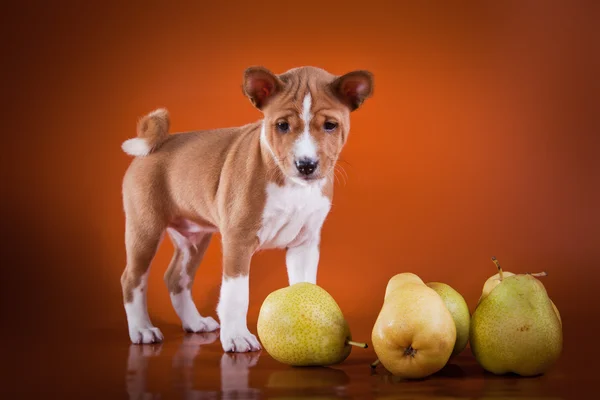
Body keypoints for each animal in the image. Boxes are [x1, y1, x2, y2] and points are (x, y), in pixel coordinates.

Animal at [119, 66, 372, 354]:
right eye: (282, 125)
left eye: (330, 125)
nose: (306, 164)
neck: (292, 186)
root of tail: (155, 145)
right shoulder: (238, 240)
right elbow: (236, 295)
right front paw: (237, 336)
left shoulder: (305, 243)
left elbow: (306, 286)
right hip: (145, 229)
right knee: (132, 279)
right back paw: (142, 329)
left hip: (193, 238)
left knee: (175, 278)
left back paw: (194, 322)